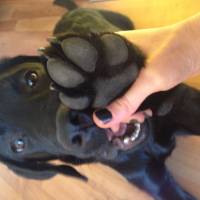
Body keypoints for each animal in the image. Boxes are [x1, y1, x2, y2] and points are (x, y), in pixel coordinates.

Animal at [0, 0, 199, 199]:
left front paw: (101, 76)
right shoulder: (149, 177)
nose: (73, 126)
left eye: (31, 77)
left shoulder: (183, 103)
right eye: (19, 145)